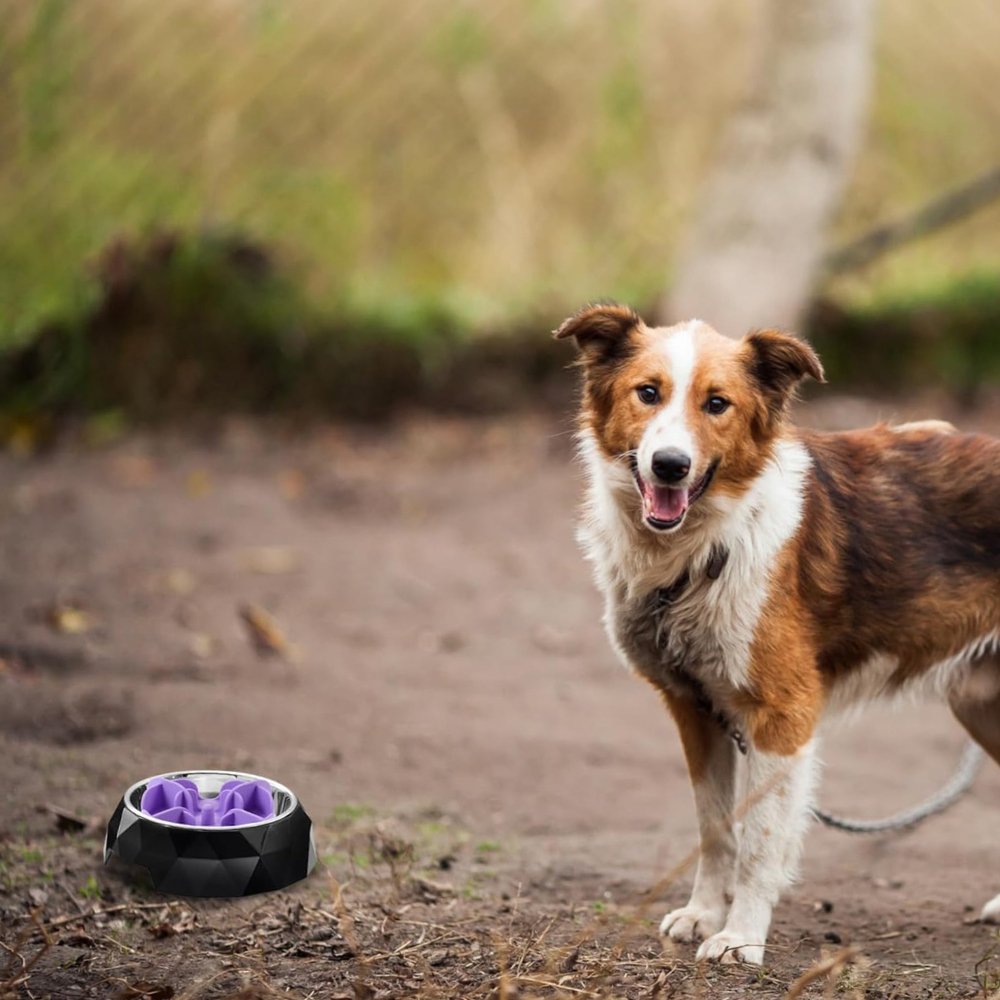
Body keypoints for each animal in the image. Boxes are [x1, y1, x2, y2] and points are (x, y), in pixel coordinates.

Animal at [556, 300, 1000, 964]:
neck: (705, 550)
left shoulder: (781, 716)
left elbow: (760, 840)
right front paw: (703, 915)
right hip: (979, 702)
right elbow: (715, 827)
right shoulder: (695, 708)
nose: (670, 466)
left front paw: (740, 937)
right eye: (648, 393)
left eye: (717, 403)